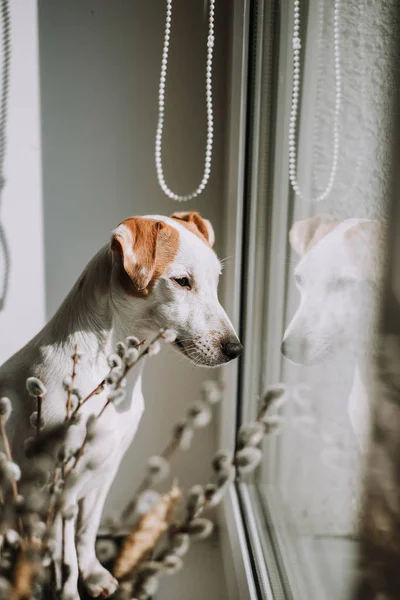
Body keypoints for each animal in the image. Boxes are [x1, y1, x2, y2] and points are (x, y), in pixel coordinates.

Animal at [0, 212, 242, 600]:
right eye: (182, 281)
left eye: (216, 280)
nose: (235, 348)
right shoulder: (58, 490)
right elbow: (65, 560)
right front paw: (69, 591)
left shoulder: (104, 472)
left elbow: (85, 535)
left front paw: (94, 574)